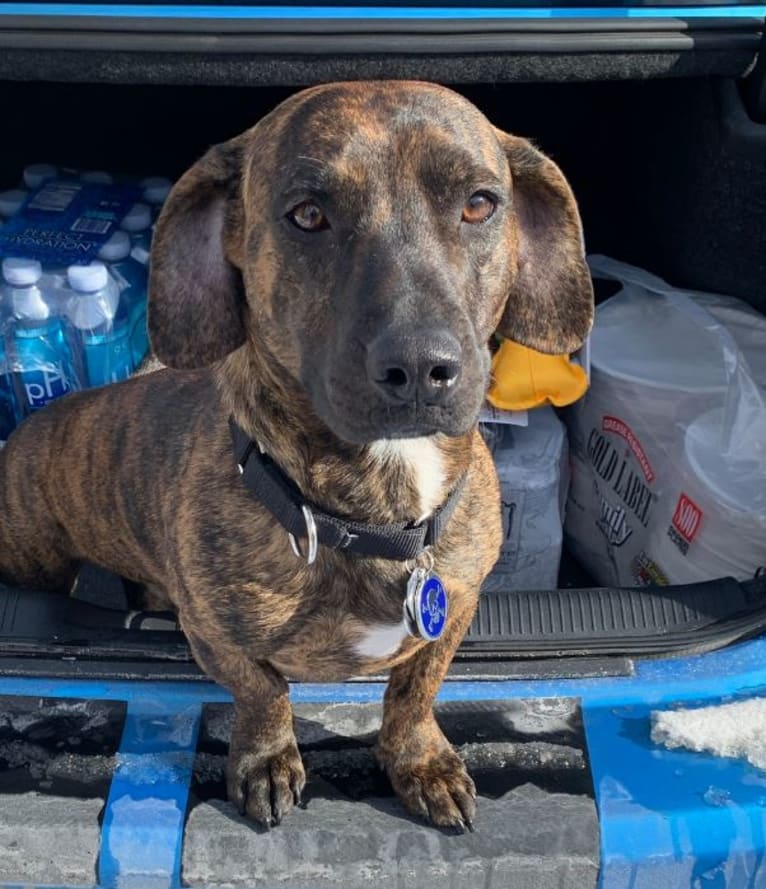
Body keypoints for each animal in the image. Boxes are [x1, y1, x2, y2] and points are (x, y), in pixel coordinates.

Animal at [0, 80, 592, 828]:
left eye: (480, 203)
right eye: (307, 214)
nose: (419, 366)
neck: (376, 509)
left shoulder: (455, 610)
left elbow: (415, 690)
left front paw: (419, 760)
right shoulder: (215, 637)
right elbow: (263, 692)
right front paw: (268, 759)